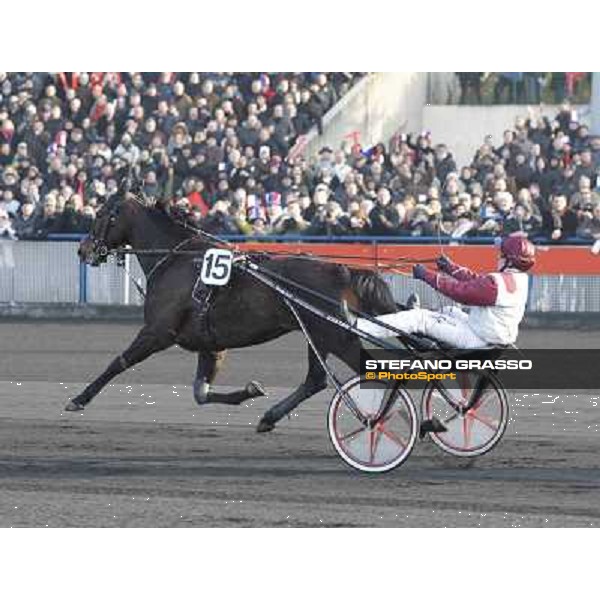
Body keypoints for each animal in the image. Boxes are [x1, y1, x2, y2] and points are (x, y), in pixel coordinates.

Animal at [68, 193, 396, 432]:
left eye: (100, 214)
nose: (83, 249)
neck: (177, 259)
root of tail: (342, 270)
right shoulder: (211, 344)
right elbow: (201, 393)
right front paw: (251, 390)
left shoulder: (158, 332)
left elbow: (119, 362)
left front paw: (79, 399)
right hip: (318, 335)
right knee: (316, 380)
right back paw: (270, 417)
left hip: (336, 336)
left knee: (376, 372)